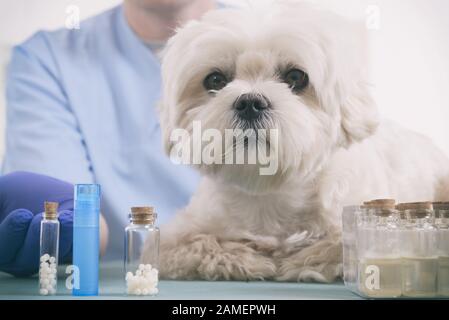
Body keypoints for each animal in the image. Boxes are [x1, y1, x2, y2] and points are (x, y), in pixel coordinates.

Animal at [143, 0, 448, 282]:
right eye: (215, 80)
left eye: (295, 76)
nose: (250, 103)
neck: (270, 194)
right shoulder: (180, 234)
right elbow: (194, 243)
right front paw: (243, 258)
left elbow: (337, 244)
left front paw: (296, 261)